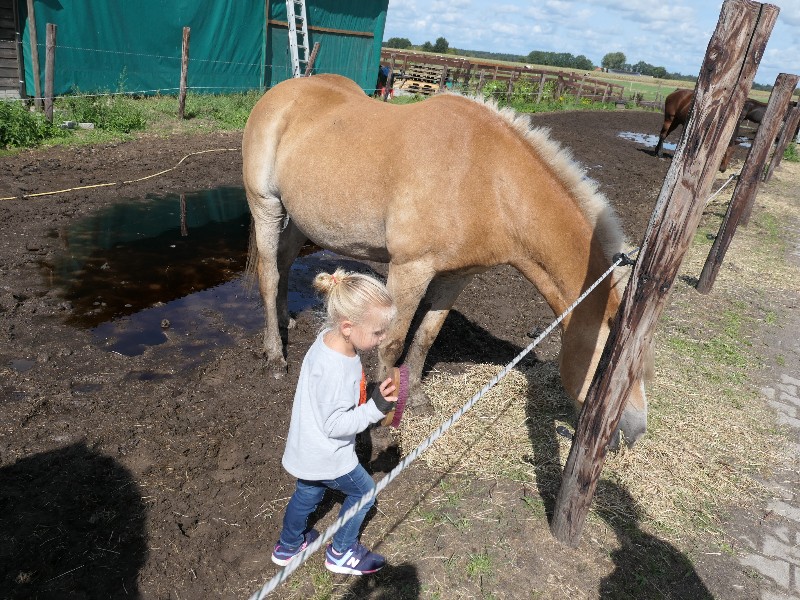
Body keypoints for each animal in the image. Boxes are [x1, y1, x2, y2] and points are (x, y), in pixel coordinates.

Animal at [242, 74, 651, 447]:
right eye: (610, 365)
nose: (634, 431)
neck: (489, 179)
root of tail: (281, 92)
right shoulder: (409, 269)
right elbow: (392, 342)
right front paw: (382, 420)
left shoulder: (457, 275)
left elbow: (426, 335)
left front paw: (418, 397)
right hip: (266, 206)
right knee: (269, 275)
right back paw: (275, 356)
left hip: (299, 218)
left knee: (284, 262)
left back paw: (285, 321)